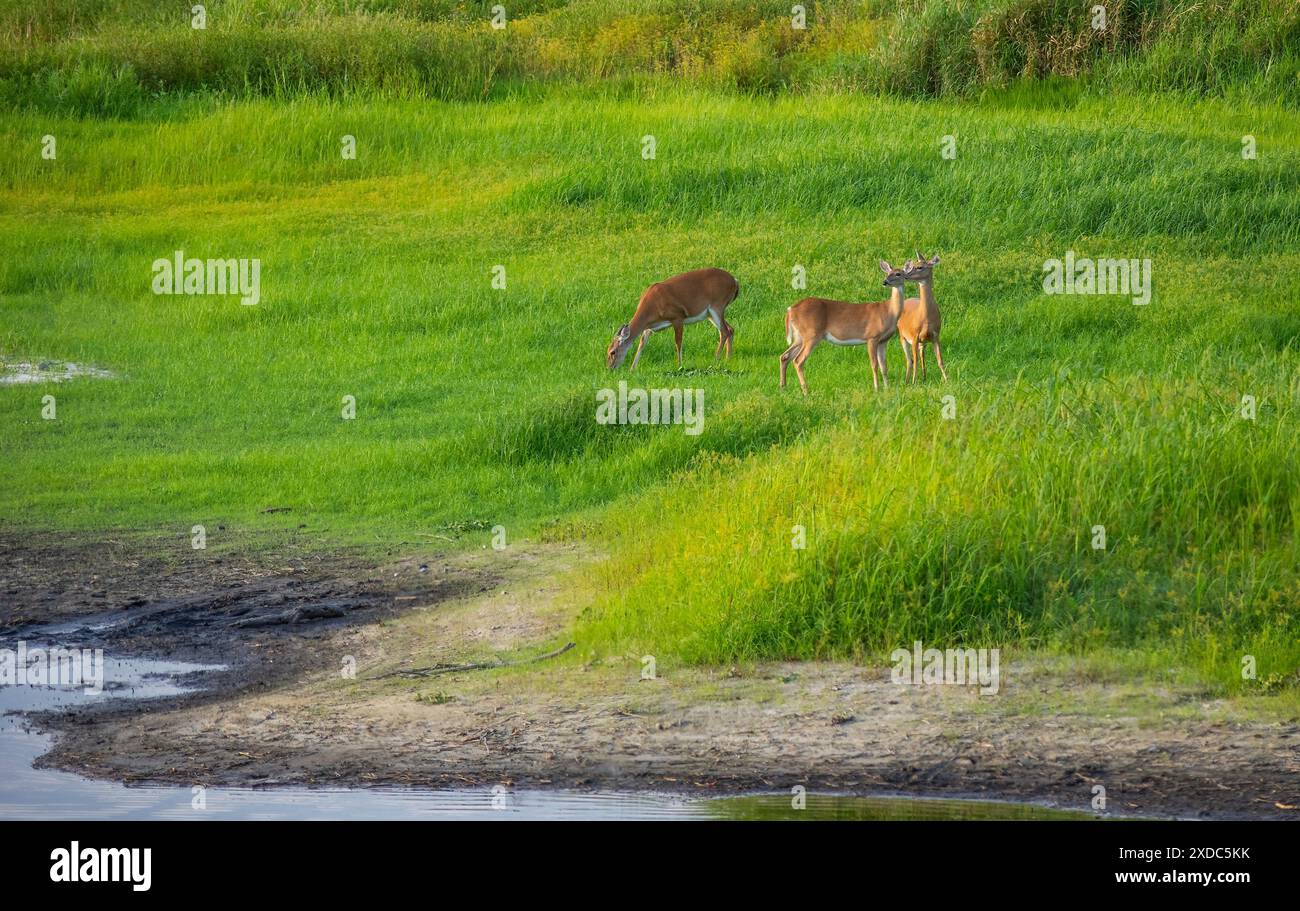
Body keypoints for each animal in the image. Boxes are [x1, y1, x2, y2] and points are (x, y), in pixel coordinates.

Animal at [606, 268, 739, 370]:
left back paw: (716, 359)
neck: (651, 307)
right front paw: (632, 369)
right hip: (710, 313)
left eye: (613, 352)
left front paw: (680, 365)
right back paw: (728, 359)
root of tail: (735, 282)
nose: (610, 368)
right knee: (730, 329)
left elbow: (678, 342)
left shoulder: (678, 317)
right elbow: (641, 344)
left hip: (717, 305)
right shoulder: (649, 328)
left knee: (724, 331)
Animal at [779, 260, 908, 395]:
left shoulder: (883, 340)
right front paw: (877, 389)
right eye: (888, 273)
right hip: (811, 334)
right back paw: (806, 392)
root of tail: (790, 310)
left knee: (785, 356)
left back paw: (783, 388)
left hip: (799, 336)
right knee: (798, 360)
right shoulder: (872, 336)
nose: (885, 282)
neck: (889, 312)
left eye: (898, 274)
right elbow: (874, 364)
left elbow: (884, 366)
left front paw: (887, 389)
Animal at [897, 251, 948, 383]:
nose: (906, 275)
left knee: (920, 355)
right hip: (902, 335)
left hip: (923, 341)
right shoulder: (914, 336)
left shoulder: (936, 335)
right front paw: (914, 382)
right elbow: (915, 362)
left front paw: (947, 380)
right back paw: (907, 381)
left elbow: (940, 361)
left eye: (920, 267)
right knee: (910, 360)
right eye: (912, 265)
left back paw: (924, 378)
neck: (926, 317)